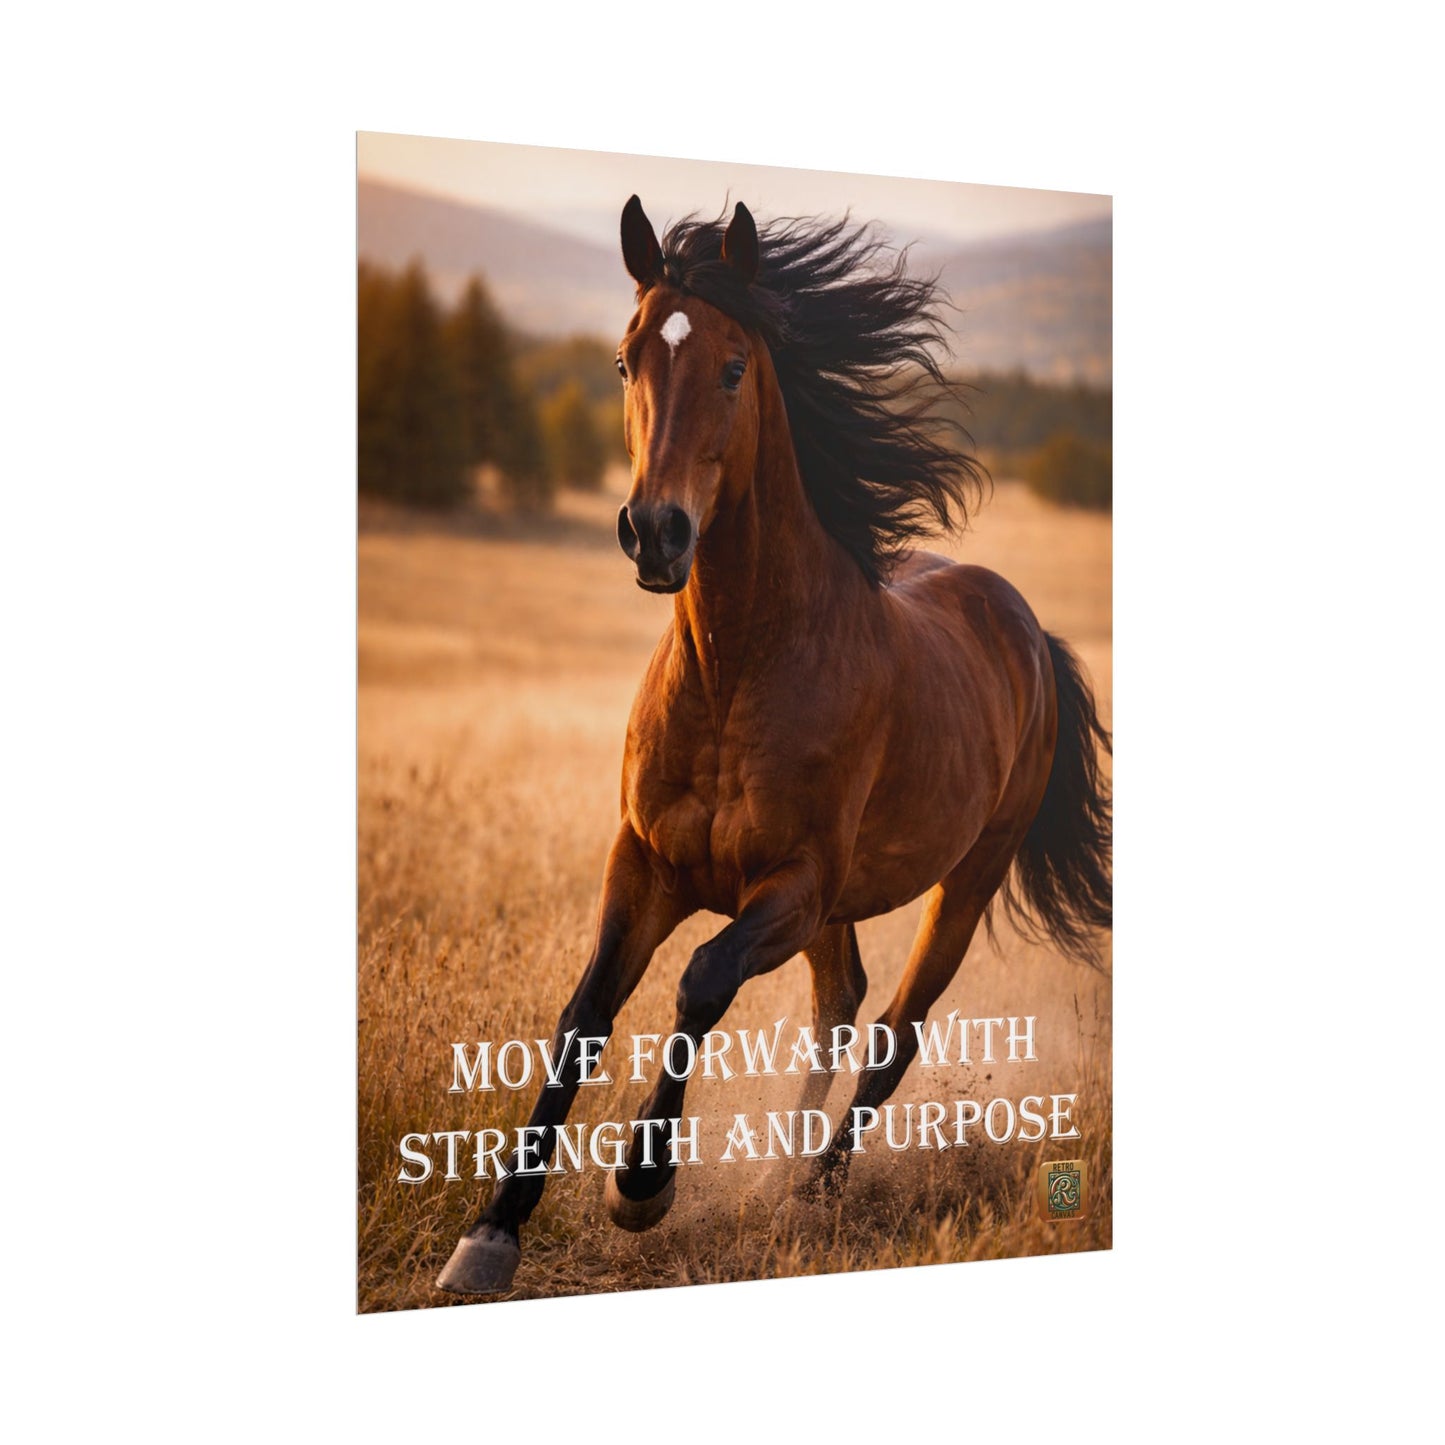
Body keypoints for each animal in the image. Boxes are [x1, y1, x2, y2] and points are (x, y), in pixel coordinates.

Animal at [438, 196, 1111, 1294]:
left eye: (731, 367)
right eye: (624, 361)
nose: (655, 532)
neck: (737, 667)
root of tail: (1022, 626)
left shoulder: (787, 886)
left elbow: (700, 978)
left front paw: (641, 1183)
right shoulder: (644, 863)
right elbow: (585, 1011)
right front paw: (490, 1230)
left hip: (964, 877)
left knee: (893, 1029)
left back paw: (812, 1186)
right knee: (841, 1000)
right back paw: (776, 1174)